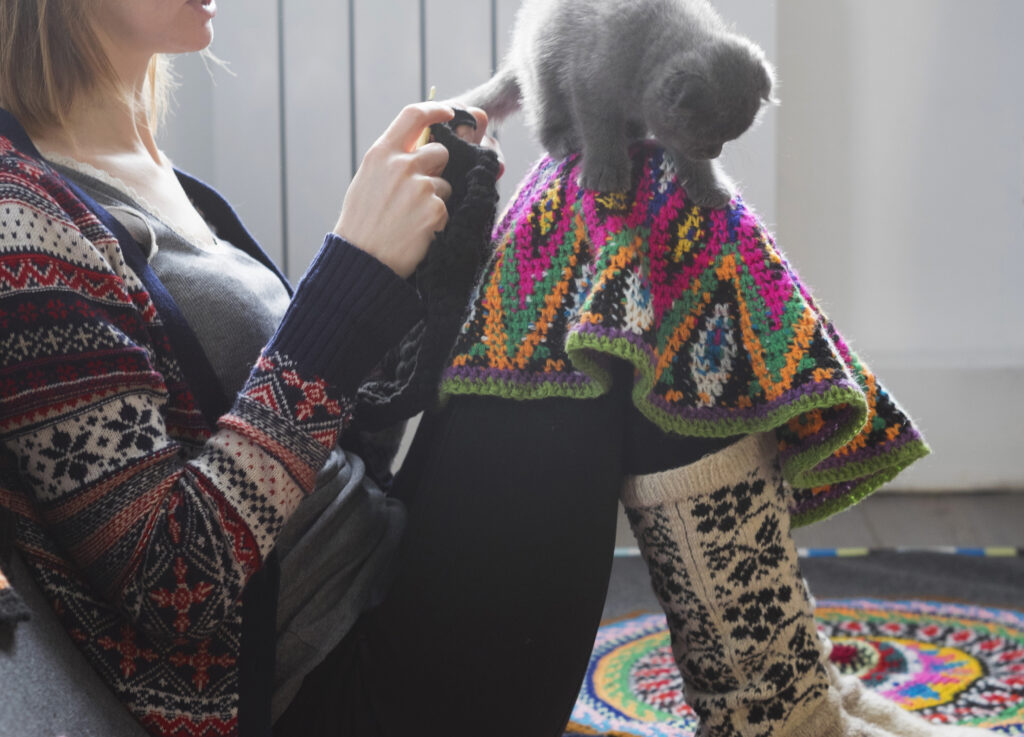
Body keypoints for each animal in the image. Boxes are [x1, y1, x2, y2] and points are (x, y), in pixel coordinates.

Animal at [460, 0, 770, 205]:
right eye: (708, 140)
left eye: (724, 141)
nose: (715, 152)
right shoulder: (589, 85)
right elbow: (601, 132)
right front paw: (606, 173)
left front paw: (709, 186)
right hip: (542, 71)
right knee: (546, 117)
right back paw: (564, 140)